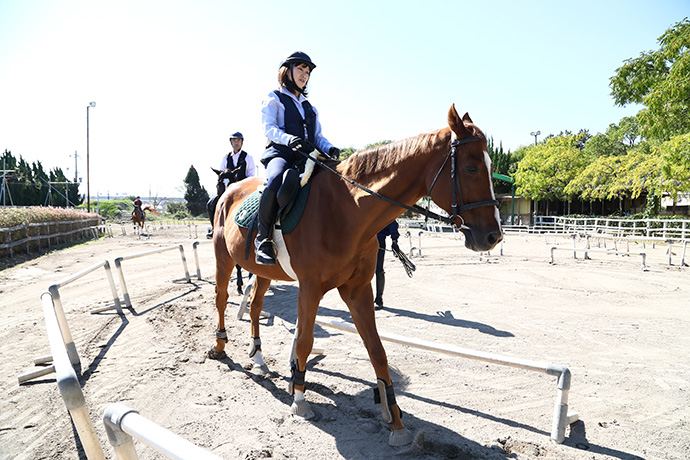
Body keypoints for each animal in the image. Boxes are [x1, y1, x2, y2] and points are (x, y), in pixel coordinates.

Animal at [207, 105, 498, 446]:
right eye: (471, 168)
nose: (493, 236)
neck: (346, 209)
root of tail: (230, 191)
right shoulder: (310, 288)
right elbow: (304, 341)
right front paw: (300, 400)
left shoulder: (358, 290)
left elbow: (377, 350)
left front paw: (395, 420)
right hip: (223, 258)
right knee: (222, 299)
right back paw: (220, 347)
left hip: (262, 270)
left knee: (254, 307)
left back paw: (259, 359)